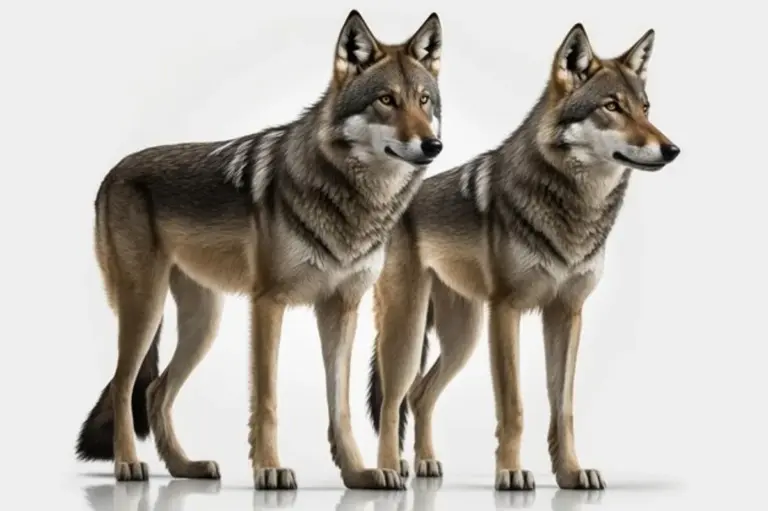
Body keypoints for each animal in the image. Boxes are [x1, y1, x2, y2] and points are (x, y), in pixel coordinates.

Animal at [74, 10, 444, 491]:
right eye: (386, 100)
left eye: (424, 100)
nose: (432, 145)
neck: (356, 203)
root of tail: (113, 172)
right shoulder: (269, 303)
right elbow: (267, 398)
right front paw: (269, 469)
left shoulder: (342, 307)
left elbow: (340, 404)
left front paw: (359, 472)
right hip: (146, 307)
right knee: (123, 385)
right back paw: (126, 465)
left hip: (203, 323)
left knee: (155, 391)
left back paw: (185, 467)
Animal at [366, 23, 680, 491]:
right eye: (611, 107)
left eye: (645, 109)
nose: (672, 149)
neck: (576, 210)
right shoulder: (506, 312)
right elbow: (513, 406)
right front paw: (511, 473)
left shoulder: (566, 313)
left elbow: (563, 407)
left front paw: (571, 472)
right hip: (410, 325)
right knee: (393, 399)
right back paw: (389, 469)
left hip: (463, 337)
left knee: (420, 394)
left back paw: (424, 465)